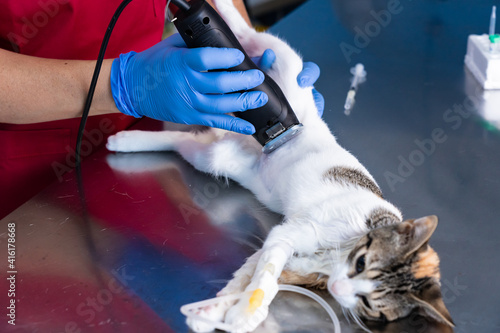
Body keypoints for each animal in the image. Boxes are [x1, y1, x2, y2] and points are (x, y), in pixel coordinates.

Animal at [104, 0, 454, 328]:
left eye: (368, 302)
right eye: (362, 264)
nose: (340, 288)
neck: (338, 252)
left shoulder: (285, 249)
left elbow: (253, 275)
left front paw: (221, 311)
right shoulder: (289, 233)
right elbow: (264, 275)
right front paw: (244, 310)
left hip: (213, 157)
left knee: (181, 141)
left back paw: (127, 140)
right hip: (284, 68)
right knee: (251, 37)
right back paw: (223, 12)